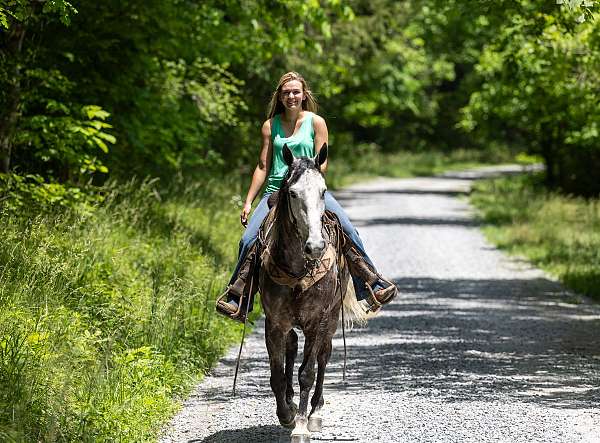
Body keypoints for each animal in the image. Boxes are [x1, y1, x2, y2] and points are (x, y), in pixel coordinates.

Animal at [256, 144, 366, 443]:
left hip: (330, 320)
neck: (297, 270)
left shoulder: (318, 321)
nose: (315, 246)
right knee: (292, 348)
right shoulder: (275, 323)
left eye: (323, 191)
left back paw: (315, 411)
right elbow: (277, 374)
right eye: (293, 193)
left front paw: (302, 425)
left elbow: (307, 372)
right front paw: (286, 414)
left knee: (323, 357)